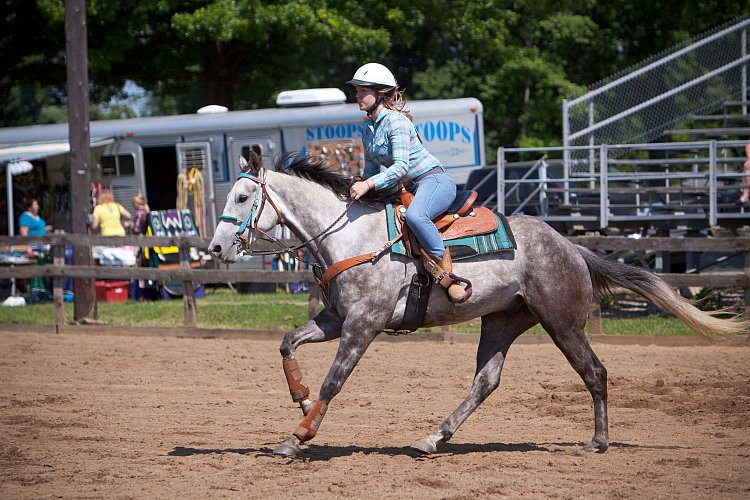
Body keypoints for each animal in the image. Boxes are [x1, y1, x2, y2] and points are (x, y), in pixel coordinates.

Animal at [209, 152, 748, 458]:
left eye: (242, 197)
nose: (215, 248)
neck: (351, 236)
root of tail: (571, 246)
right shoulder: (336, 319)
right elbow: (287, 343)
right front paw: (300, 399)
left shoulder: (363, 325)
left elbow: (334, 381)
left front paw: (298, 435)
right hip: (503, 321)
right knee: (486, 381)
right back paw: (433, 438)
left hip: (563, 323)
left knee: (594, 373)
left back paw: (597, 442)